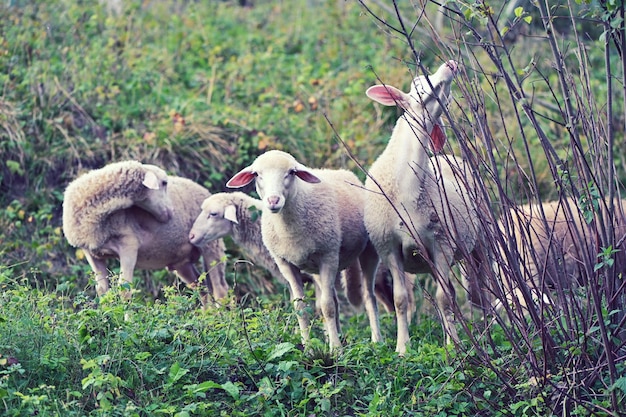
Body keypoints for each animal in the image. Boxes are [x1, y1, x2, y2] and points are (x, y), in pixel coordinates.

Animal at [60, 161, 227, 304]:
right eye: (164, 183)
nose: (171, 212)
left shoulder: (129, 244)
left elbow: (124, 290)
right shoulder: (91, 253)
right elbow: (102, 291)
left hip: (211, 243)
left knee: (220, 290)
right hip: (181, 261)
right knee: (200, 287)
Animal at [224, 151, 380, 350]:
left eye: (291, 172)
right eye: (257, 174)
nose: (273, 200)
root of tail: (344, 172)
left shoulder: (328, 256)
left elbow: (327, 306)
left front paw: (335, 349)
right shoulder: (286, 263)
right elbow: (300, 308)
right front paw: (308, 348)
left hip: (368, 251)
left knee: (369, 297)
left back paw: (377, 341)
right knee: (336, 300)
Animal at [360, 59, 492, 352]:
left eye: (449, 98)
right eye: (418, 84)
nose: (451, 64)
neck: (407, 189)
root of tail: (447, 156)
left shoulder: (441, 242)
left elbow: (444, 297)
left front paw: (454, 346)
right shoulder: (388, 246)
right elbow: (400, 299)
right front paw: (402, 348)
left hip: (478, 239)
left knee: (481, 284)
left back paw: (491, 326)